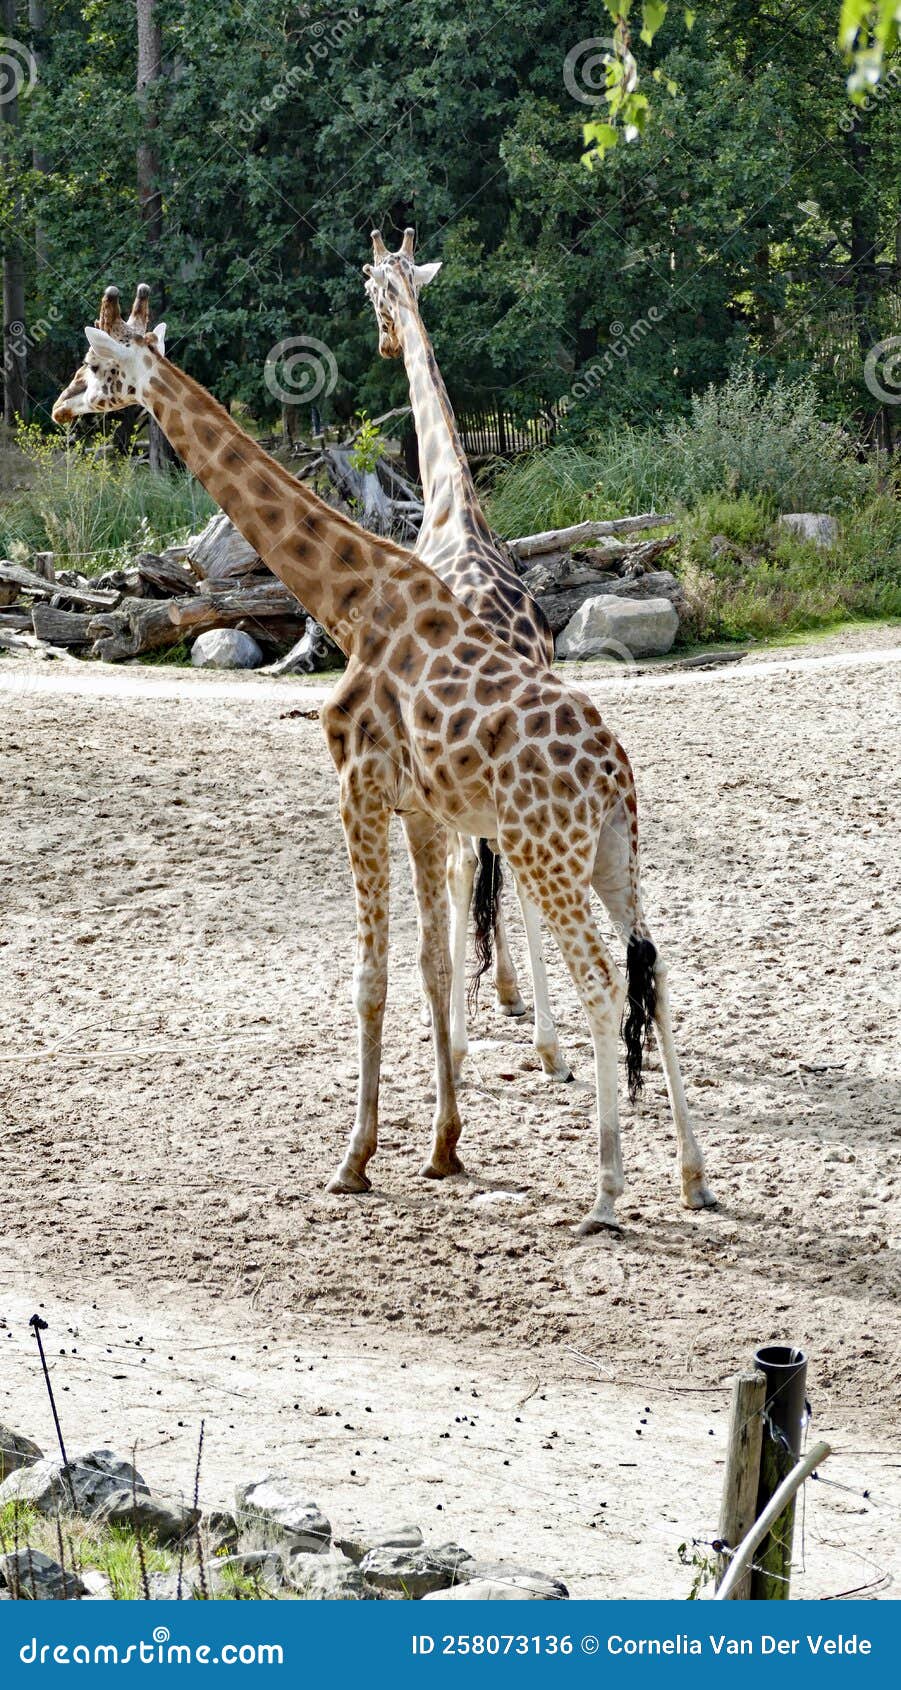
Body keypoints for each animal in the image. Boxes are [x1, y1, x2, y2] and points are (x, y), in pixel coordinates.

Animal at [51, 283, 715, 1233]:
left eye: (93, 364)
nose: (60, 406)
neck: (350, 598)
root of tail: (612, 771)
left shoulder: (356, 787)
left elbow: (370, 975)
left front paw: (354, 1161)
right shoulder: (424, 810)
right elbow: (433, 966)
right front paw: (443, 1149)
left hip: (545, 851)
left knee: (602, 983)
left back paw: (604, 1191)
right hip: (613, 852)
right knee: (653, 973)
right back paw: (695, 1178)